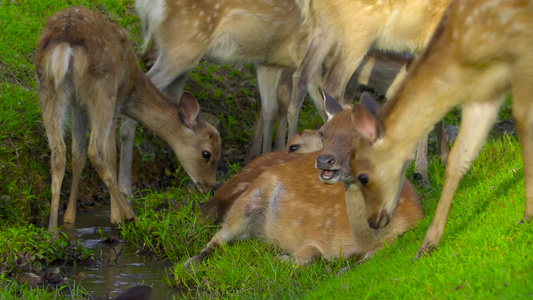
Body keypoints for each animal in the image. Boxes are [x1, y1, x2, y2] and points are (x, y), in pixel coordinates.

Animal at [35, 7, 220, 232]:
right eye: (207, 154)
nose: (210, 186)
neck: (132, 88)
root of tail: (64, 42)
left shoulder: (78, 105)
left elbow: (77, 155)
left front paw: (70, 219)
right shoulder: (115, 105)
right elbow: (110, 155)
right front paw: (116, 218)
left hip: (49, 89)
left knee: (58, 152)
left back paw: (53, 230)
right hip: (103, 91)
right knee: (95, 150)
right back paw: (132, 217)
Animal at [185, 92, 422, 266]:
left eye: (361, 135)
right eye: (323, 132)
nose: (324, 160)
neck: (364, 242)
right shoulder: (318, 237)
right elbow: (309, 255)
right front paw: (282, 257)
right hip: (247, 200)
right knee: (219, 236)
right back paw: (189, 263)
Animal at [350, 0, 532, 258]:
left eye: (362, 177)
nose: (373, 220)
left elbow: (524, 123)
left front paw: (527, 214)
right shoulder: (484, 94)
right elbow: (458, 159)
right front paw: (427, 244)